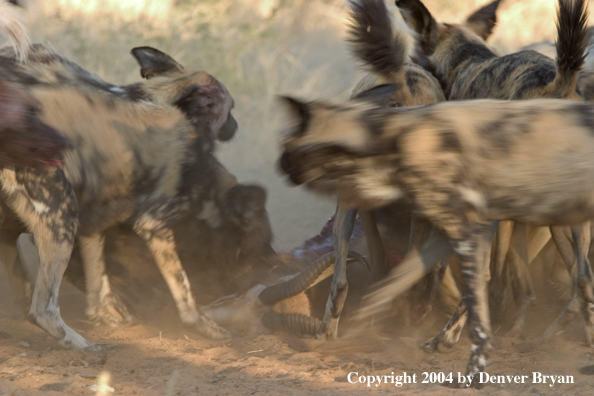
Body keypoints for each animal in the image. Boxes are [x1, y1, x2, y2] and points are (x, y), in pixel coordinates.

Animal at [0, 82, 236, 348]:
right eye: (230, 109)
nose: (235, 125)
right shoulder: (153, 224)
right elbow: (184, 289)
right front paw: (204, 326)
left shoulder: (92, 226)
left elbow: (98, 287)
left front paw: (110, 318)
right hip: (62, 215)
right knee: (42, 309)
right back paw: (82, 345)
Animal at [278, 86, 594, 384]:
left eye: (287, 144)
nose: (280, 167)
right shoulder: (449, 231)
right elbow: (392, 282)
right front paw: (361, 324)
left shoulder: (465, 228)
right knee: (583, 278)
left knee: (574, 278)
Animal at [396, 0, 588, 350]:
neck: (467, 58)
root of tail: (556, 85)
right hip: (566, 218)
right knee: (582, 276)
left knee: (482, 275)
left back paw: (444, 338)